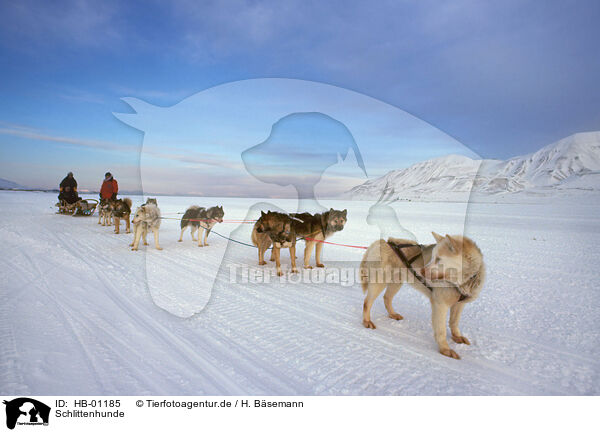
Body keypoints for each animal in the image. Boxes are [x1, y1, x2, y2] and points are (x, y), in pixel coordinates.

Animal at [358, 231, 486, 360]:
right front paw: (445, 349)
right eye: (433, 257)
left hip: (396, 283)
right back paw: (367, 321)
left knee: (387, 298)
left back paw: (393, 314)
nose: (422, 271)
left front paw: (457, 337)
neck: (461, 282)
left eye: (438, 259)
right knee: (367, 303)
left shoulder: (459, 304)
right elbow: (441, 330)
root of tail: (383, 241)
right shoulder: (440, 305)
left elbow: (454, 322)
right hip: (380, 282)